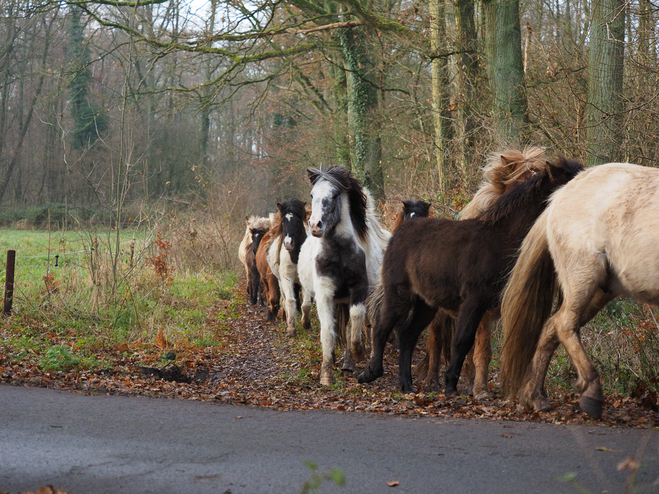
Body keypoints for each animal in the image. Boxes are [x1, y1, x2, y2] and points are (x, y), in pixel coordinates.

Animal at [300, 166, 392, 386]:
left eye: (334, 195)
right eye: (312, 195)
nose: (315, 226)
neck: (339, 253)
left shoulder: (358, 289)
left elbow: (356, 319)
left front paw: (358, 353)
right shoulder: (324, 293)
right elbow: (327, 330)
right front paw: (326, 374)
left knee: (352, 324)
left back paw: (349, 363)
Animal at [356, 152, 584, 396]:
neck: (497, 239)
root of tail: (400, 232)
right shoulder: (473, 300)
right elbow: (463, 341)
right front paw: (451, 386)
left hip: (426, 304)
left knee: (408, 334)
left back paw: (407, 385)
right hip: (399, 294)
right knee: (382, 328)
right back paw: (370, 373)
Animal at [500, 162, 659, 416]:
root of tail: (560, 195)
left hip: (601, 290)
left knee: (551, 328)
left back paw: (536, 397)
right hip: (582, 279)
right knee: (564, 325)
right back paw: (591, 393)